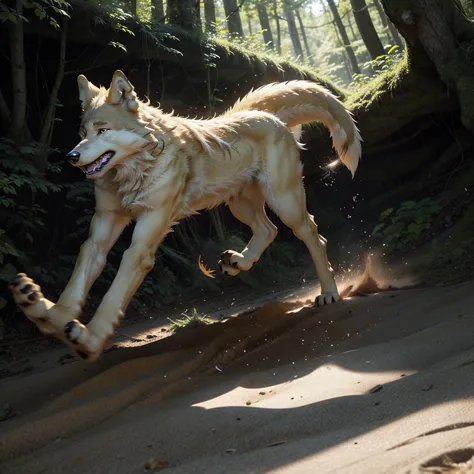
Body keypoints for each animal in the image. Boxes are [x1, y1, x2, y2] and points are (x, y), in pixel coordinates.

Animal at [9, 69, 362, 360]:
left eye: (103, 130)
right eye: (82, 132)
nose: (71, 156)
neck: (134, 171)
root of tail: (261, 112)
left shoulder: (143, 242)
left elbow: (112, 297)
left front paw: (89, 339)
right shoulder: (100, 233)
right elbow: (74, 286)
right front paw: (43, 310)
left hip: (285, 203)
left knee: (313, 235)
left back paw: (329, 293)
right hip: (240, 205)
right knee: (268, 230)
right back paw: (238, 262)